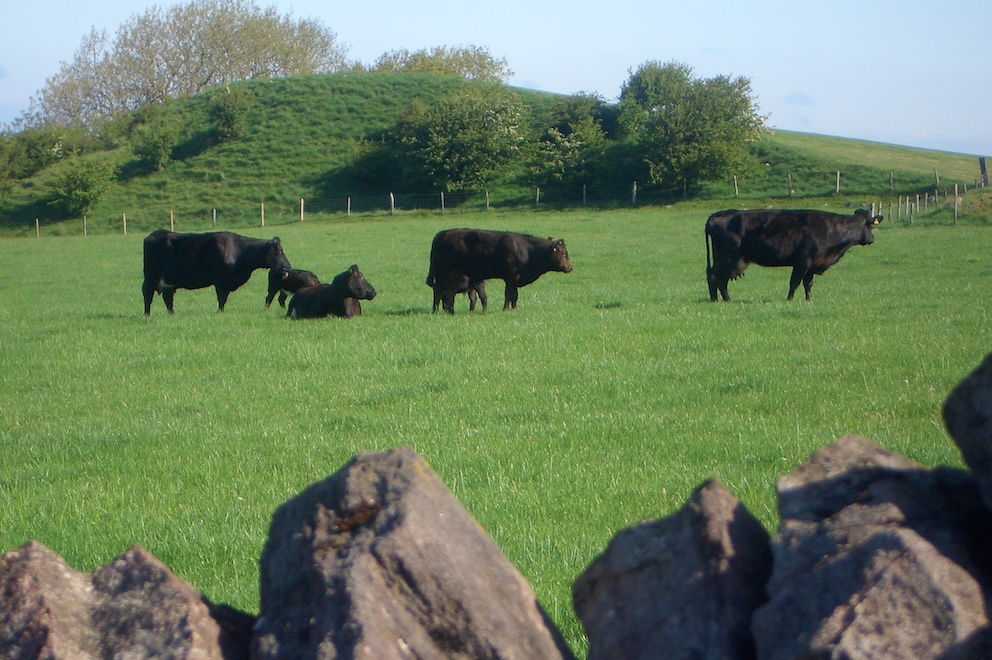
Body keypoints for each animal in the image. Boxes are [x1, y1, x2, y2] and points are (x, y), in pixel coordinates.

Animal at [142, 230, 291, 315]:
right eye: (279, 251)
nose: (288, 266)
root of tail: (156, 233)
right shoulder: (221, 282)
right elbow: (222, 298)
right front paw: (220, 312)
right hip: (150, 276)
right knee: (147, 294)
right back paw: (147, 314)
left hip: (169, 281)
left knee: (167, 297)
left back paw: (172, 313)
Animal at [426, 229, 572, 314]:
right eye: (563, 254)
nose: (570, 267)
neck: (527, 250)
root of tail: (440, 235)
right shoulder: (510, 277)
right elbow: (508, 294)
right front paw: (506, 309)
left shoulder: (514, 279)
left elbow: (514, 295)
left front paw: (514, 309)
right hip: (443, 273)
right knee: (439, 292)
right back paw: (436, 311)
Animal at [705, 208, 882, 301]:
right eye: (869, 226)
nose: (872, 239)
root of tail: (719, 214)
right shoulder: (802, 262)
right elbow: (794, 283)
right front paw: (789, 300)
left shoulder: (812, 265)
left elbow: (808, 284)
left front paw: (809, 300)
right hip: (726, 257)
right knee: (716, 278)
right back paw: (720, 300)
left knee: (719, 279)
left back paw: (722, 299)